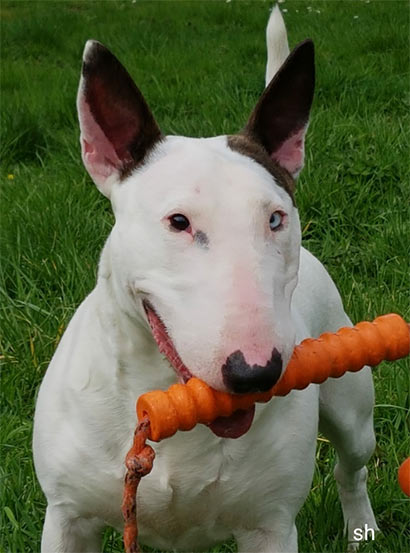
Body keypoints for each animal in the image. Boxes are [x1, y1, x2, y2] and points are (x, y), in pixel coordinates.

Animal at [33, 7, 378, 552]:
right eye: (179, 221)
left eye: (276, 218)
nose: (255, 373)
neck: (169, 398)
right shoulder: (68, 518)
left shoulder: (270, 527)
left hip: (352, 405)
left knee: (352, 468)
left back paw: (362, 528)